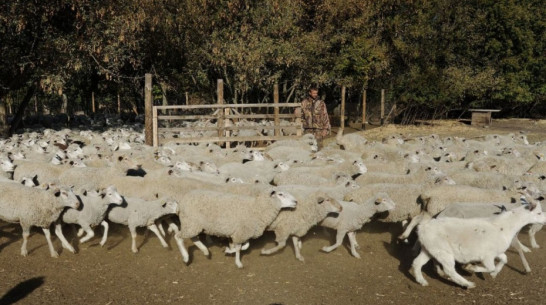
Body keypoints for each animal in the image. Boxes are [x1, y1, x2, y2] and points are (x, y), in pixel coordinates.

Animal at [408, 194, 544, 286]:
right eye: (538, 213)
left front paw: (494, 274)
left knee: (417, 263)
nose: (544, 220)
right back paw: (467, 284)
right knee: (449, 269)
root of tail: (423, 228)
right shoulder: (487, 255)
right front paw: (471, 268)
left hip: (430, 249)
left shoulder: (496, 252)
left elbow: (505, 259)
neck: (504, 226)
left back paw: (422, 281)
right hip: (443, 251)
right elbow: (490, 267)